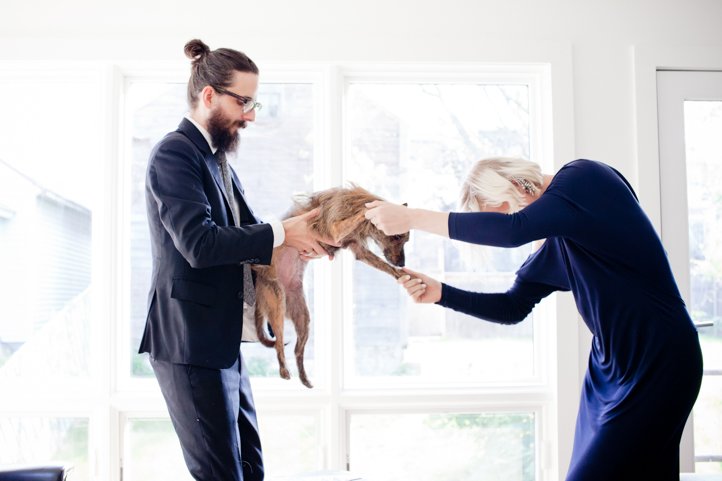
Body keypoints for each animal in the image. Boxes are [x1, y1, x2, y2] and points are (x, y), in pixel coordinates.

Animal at [250, 186, 408, 388]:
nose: (403, 264)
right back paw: (284, 370)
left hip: (303, 317)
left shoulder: (358, 250)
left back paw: (304, 378)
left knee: (297, 350)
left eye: (405, 240)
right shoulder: (336, 230)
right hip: (277, 304)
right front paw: (366, 210)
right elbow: (360, 214)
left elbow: (386, 266)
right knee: (278, 343)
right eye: (396, 236)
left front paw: (403, 275)